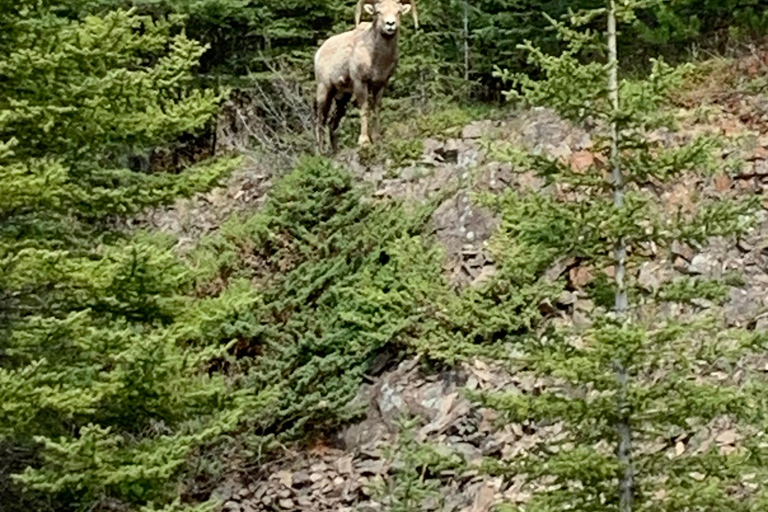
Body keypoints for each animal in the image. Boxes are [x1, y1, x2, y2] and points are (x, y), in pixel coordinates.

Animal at [314, 0, 416, 152]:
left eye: (398, 12)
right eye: (378, 12)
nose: (390, 24)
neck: (377, 59)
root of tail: (319, 52)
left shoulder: (381, 84)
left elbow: (376, 109)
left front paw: (377, 140)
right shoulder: (360, 83)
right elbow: (365, 109)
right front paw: (364, 142)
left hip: (342, 97)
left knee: (332, 123)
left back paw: (335, 152)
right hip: (324, 90)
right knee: (321, 120)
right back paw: (320, 152)